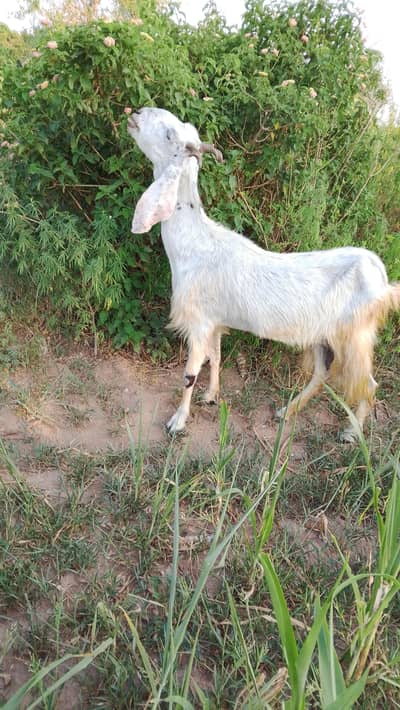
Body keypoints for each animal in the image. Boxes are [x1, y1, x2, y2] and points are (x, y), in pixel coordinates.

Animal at [127, 107, 400, 442]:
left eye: (169, 135)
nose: (137, 113)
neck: (195, 243)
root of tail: (383, 283)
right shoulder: (215, 321)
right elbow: (215, 357)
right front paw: (211, 396)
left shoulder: (199, 321)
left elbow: (190, 373)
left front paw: (177, 422)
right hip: (322, 335)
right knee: (322, 373)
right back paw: (287, 412)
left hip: (356, 338)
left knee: (368, 383)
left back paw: (352, 433)